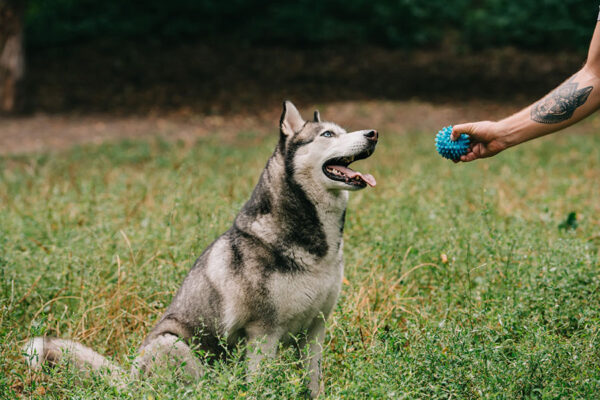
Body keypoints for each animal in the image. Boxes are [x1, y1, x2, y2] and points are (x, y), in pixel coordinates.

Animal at [25, 101, 380, 396]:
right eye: (328, 134)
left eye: (343, 129)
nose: (373, 133)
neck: (318, 246)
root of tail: (128, 381)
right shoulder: (263, 334)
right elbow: (260, 385)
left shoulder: (315, 331)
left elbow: (313, 383)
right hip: (173, 344)